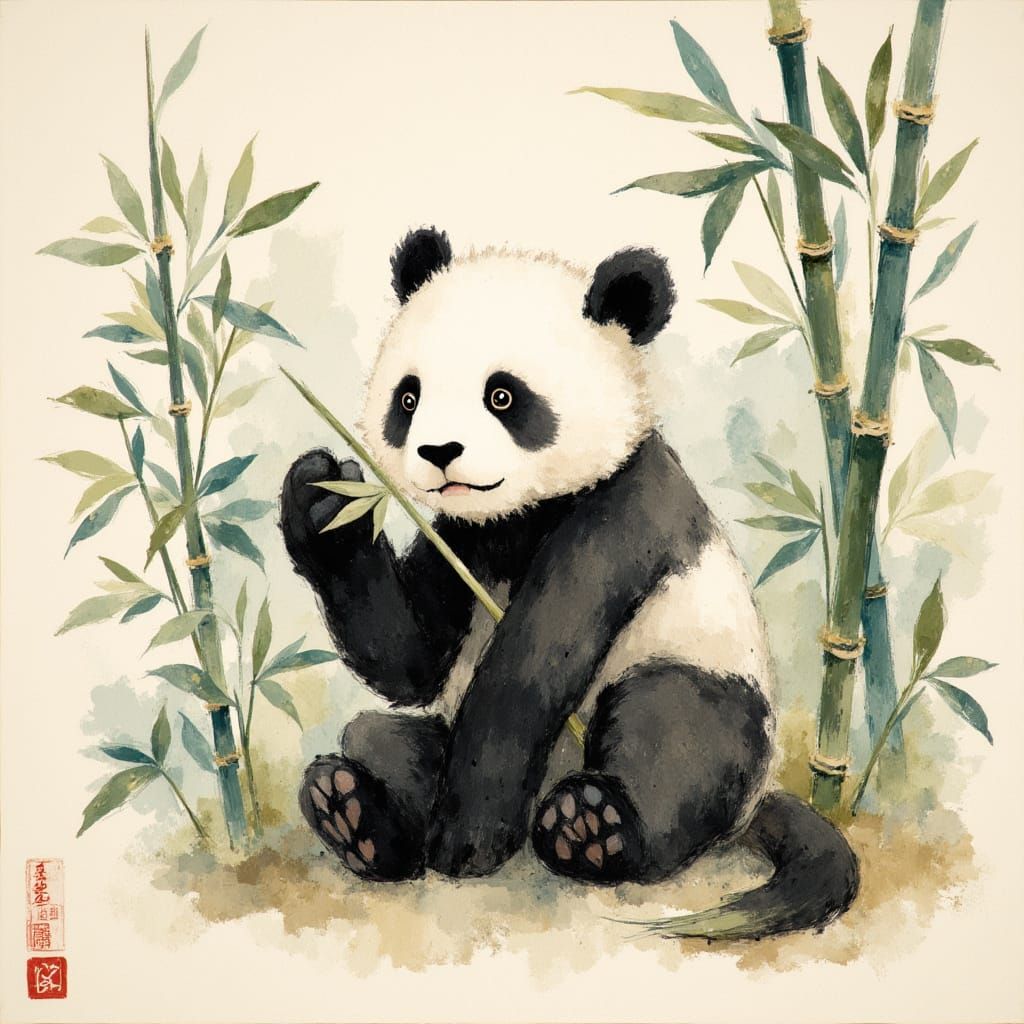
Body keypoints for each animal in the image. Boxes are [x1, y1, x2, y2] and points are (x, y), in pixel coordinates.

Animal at [280, 227, 859, 938]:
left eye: (503, 396)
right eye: (408, 397)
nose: (438, 454)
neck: (519, 517)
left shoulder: (622, 510)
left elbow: (536, 658)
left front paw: (466, 844)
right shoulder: (461, 535)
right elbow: (410, 660)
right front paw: (322, 497)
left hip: (704, 673)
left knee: (677, 733)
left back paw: (590, 828)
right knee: (377, 737)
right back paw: (352, 814)